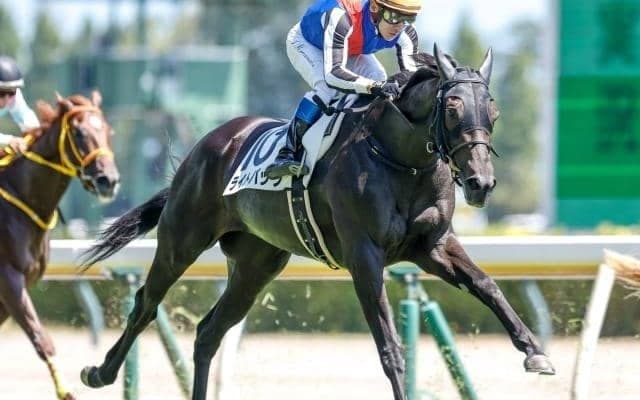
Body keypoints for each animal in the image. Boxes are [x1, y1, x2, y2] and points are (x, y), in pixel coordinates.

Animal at [0, 91, 120, 400]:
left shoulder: (20, 286)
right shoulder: (9, 279)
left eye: (107, 130)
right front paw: (66, 391)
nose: (108, 180)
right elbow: (41, 339)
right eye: (78, 132)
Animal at [80, 45, 554, 400]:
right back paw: (98, 373)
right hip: (181, 240)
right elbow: (389, 345)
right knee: (146, 303)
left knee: (208, 332)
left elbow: (487, 285)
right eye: (453, 108)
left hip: (256, 265)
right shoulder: (364, 255)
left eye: (492, 110)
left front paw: (535, 352)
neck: (401, 159)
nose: (480, 183)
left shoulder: (433, 246)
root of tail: (208, 145)